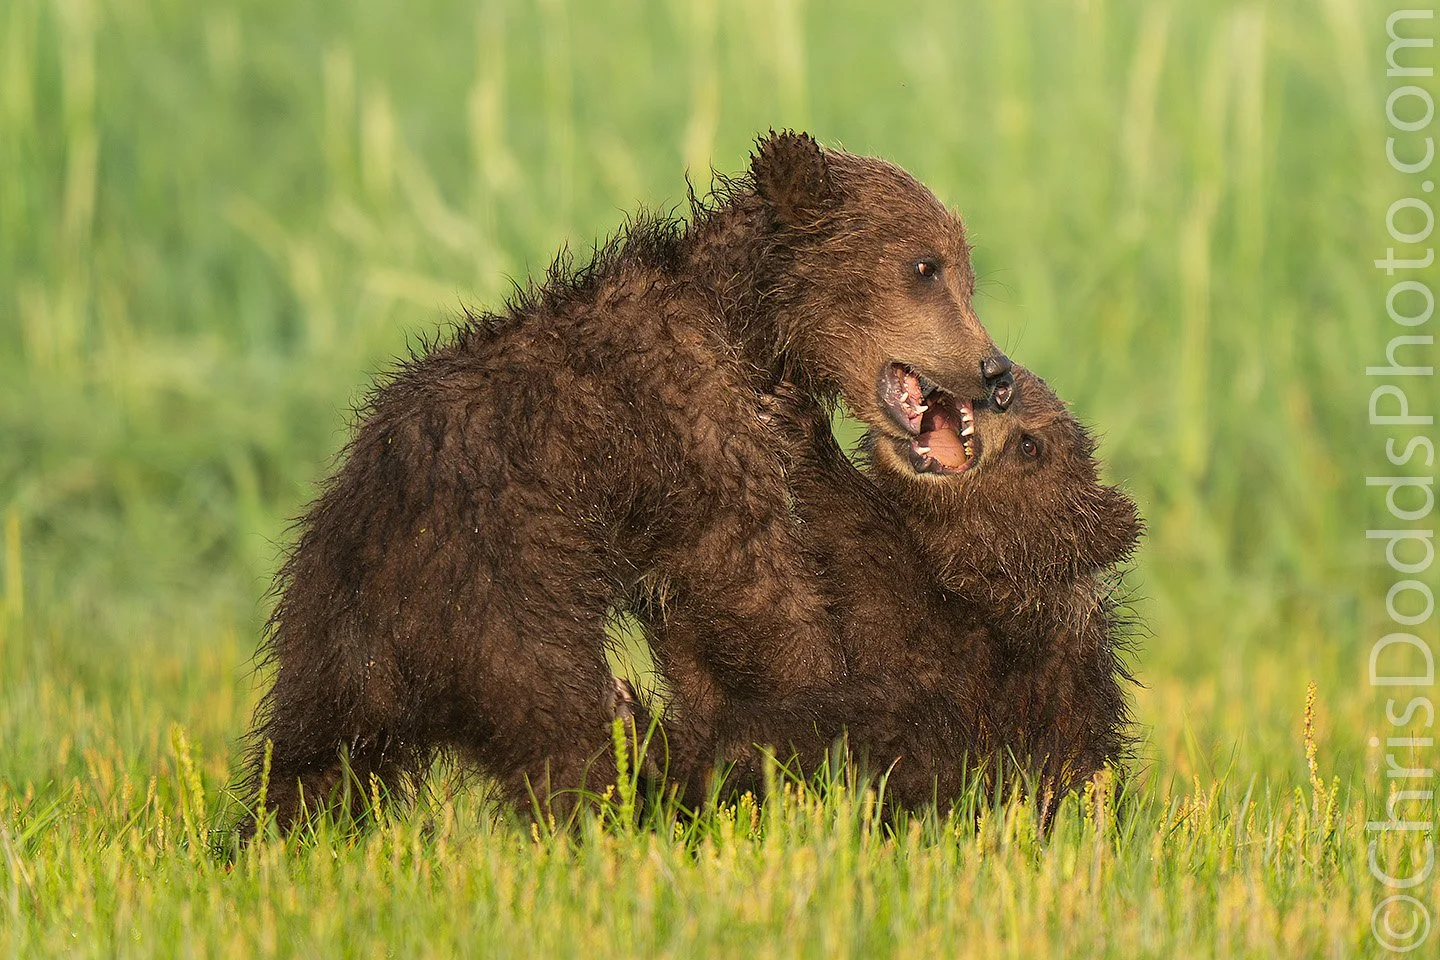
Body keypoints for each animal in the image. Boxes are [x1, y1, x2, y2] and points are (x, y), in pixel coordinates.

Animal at [240, 130, 1016, 833]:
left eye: (967, 275)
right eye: (925, 265)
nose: (996, 371)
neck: (745, 324)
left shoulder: (665, 515)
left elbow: (697, 622)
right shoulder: (693, 429)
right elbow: (758, 587)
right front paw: (825, 705)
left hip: (324, 645)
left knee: (309, 765)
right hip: (505, 602)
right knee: (565, 738)